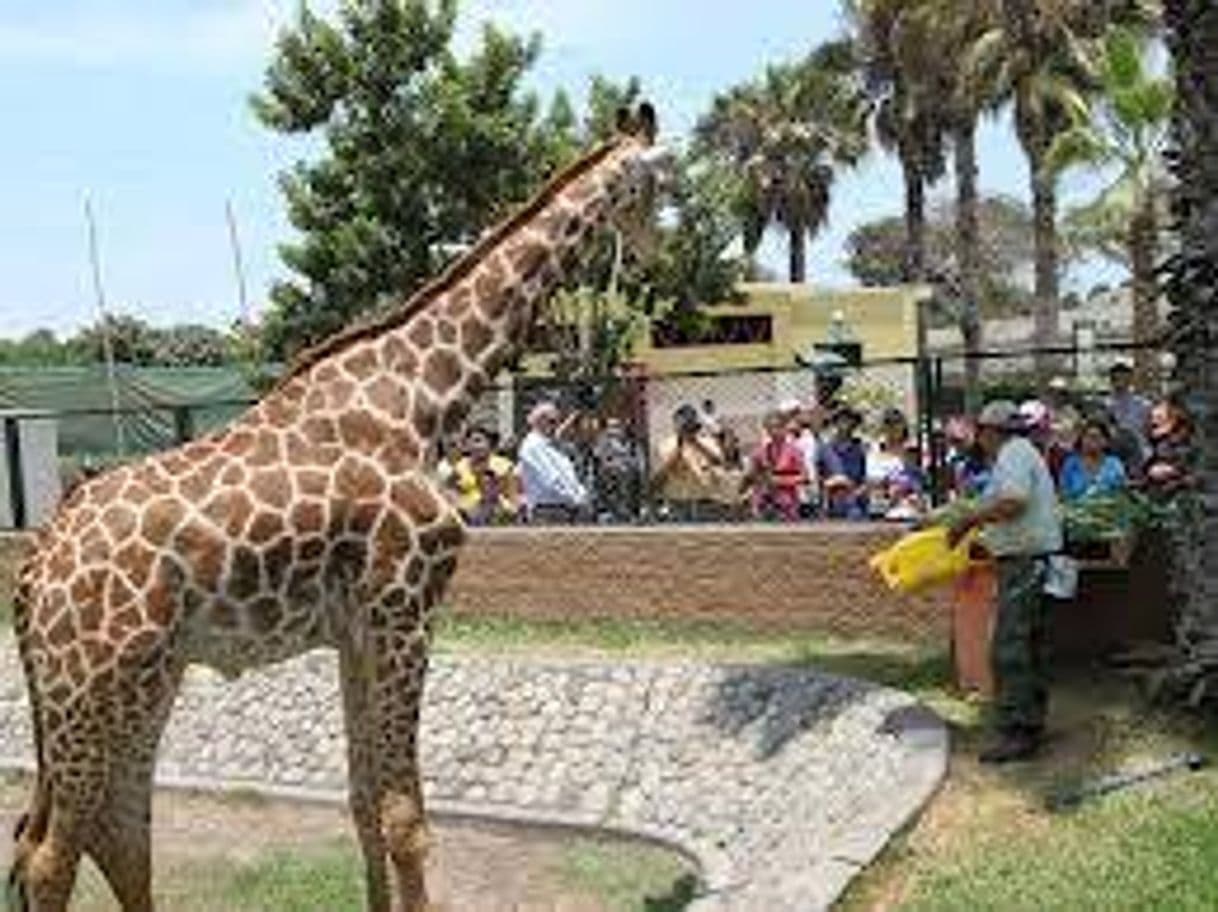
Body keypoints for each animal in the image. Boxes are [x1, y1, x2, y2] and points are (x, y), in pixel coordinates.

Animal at [4, 102, 672, 905]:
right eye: (663, 179)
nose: (658, 254)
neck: (422, 398)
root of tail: (35, 566)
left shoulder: (355, 629)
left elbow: (362, 804)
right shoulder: (404, 611)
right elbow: (404, 818)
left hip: (141, 681)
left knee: (116, 832)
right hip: (87, 686)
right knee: (51, 854)